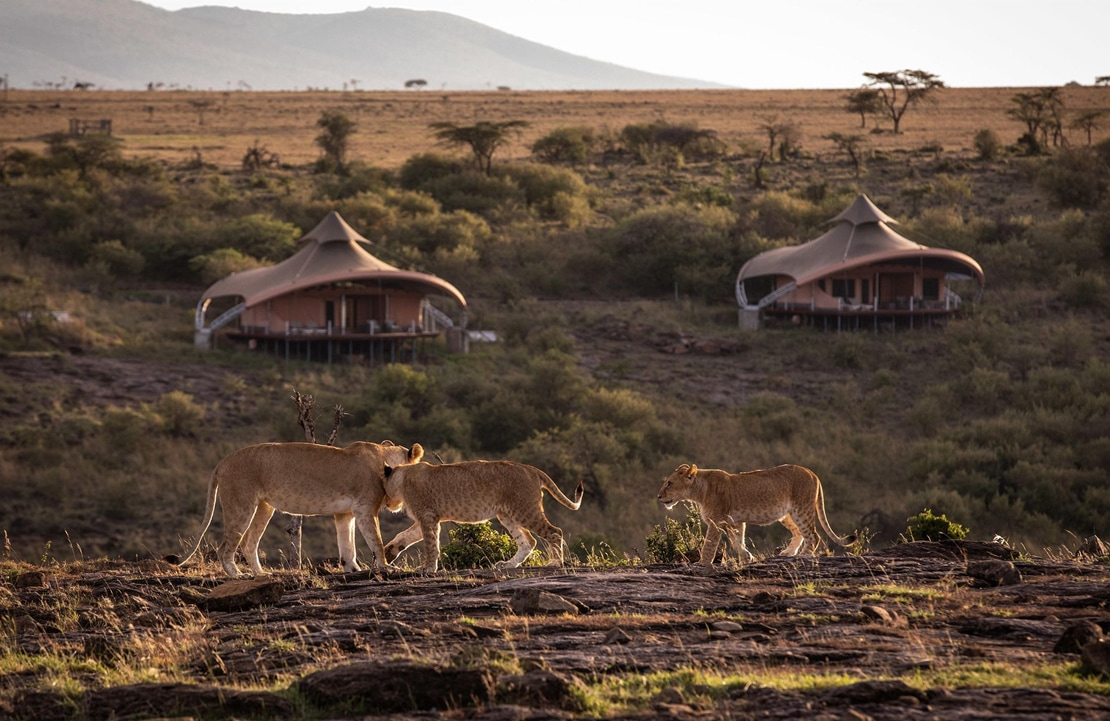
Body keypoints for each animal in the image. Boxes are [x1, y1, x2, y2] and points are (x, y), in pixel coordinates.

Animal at [175, 437, 421, 576]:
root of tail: (222, 462)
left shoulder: (345, 514)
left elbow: (347, 544)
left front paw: (352, 568)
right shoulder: (365, 509)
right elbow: (376, 541)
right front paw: (386, 567)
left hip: (264, 507)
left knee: (249, 543)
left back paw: (261, 575)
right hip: (241, 505)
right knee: (226, 547)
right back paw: (238, 575)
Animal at [381, 457, 586, 567]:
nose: (386, 505)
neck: (402, 477)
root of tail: (531, 469)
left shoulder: (427, 515)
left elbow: (431, 544)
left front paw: (428, 568)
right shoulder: (429, 517)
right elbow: (405, 535)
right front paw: (389, 552)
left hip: (524, 510)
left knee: (554, 532)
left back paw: (556, 563)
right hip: (507, 514)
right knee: (529, 541)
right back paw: (508, 565)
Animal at [657, 463, 856, 563]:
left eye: (669, 484)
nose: (658, 496)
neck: (699, 490)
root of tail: (812, 473)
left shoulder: (716, 521)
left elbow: (709, 545)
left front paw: (702, 564)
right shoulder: (735, 522)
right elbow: (737, 542)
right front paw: (747, 557)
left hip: (802, 509)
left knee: (813, 535)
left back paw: (803, 555)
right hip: (787, 514)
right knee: (800, 533)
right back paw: (787, 553)